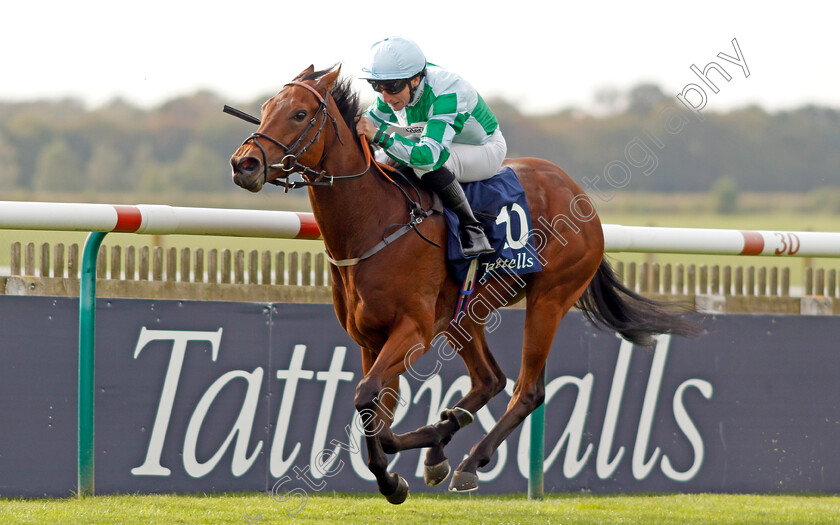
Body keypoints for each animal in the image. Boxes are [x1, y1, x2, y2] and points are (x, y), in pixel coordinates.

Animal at [228, 65, 696, 504]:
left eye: (299, 113)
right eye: (266, 108)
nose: (244, 164)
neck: (374, 224)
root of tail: (578, 194)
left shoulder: (413, 330)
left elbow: (367, 399)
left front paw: (398, 470)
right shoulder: (370, 340)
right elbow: (375, 410)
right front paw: (399, 469)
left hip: (548, 300)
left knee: (527, 390)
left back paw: (469, 460)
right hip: (468, 310)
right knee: (490, 379)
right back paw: (443, 440)